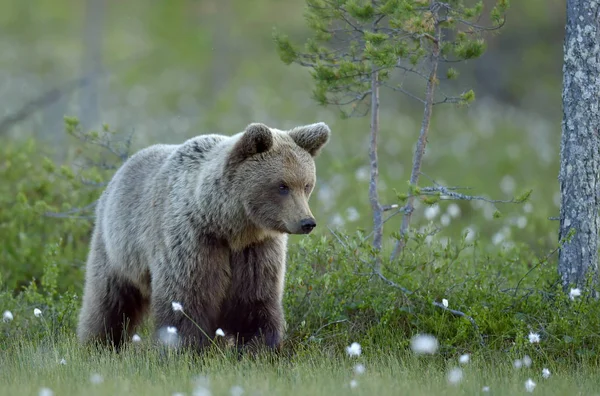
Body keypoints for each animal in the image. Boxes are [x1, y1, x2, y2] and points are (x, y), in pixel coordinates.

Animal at [77, 122, 330, 352]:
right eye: (282, 186)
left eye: (307, 184)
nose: (307, 222)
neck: (226, 226)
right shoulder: (192, 241)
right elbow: (186, 299)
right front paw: (184, 349)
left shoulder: (256, 248)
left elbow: (255, 299)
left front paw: (259, 348)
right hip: (117, 247)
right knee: (109, 299)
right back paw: (97, 343)